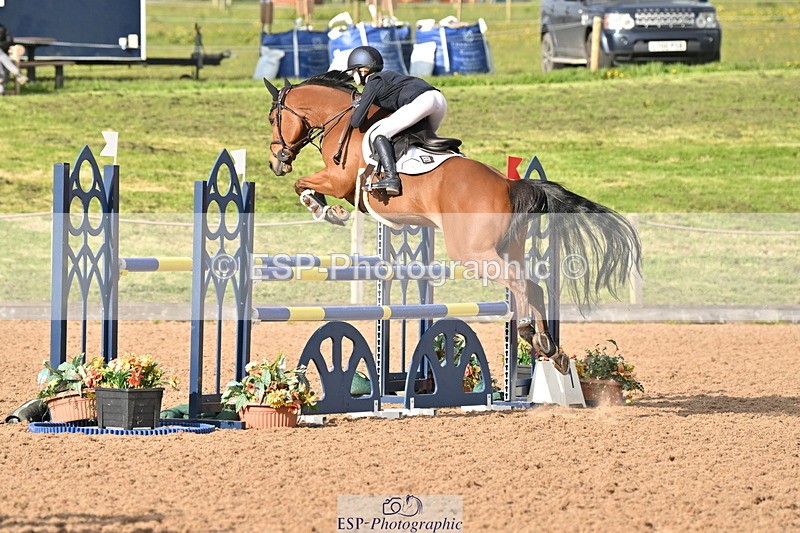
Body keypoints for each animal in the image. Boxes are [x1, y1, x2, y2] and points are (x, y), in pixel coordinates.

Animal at [263, 71, 641, 372]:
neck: (342, 119)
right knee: (533, 284)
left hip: (473, 253)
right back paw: (549, 347)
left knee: (522, 284)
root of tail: (510, 185)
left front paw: (324, 209)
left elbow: (304, 185)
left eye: (271, 117)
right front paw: (324, 207)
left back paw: (531, 335)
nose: (276, 162)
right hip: (510, 247)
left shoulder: (339, 180)